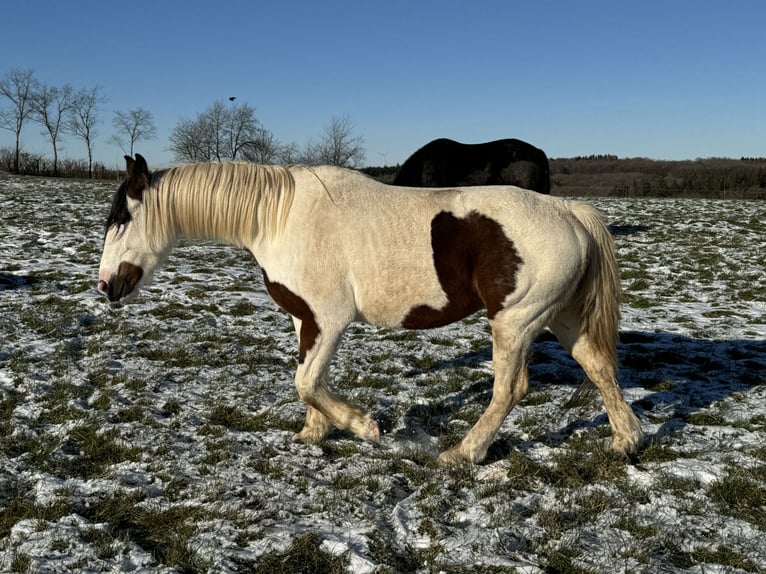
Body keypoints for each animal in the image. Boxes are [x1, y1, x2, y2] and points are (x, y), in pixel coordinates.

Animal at [100, 155, 640, 466]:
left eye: (123, 218)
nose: (107, 286)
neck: (279, 216)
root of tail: (570, 212)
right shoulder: (305, 319)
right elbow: (309, 379)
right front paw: (313, 434)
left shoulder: (330, 320)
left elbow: (307, 381)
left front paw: (362, 426)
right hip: (561, 319)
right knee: (599, 367)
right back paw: (626, 441)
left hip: (515, 321)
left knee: (510, 390)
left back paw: (462, 453)